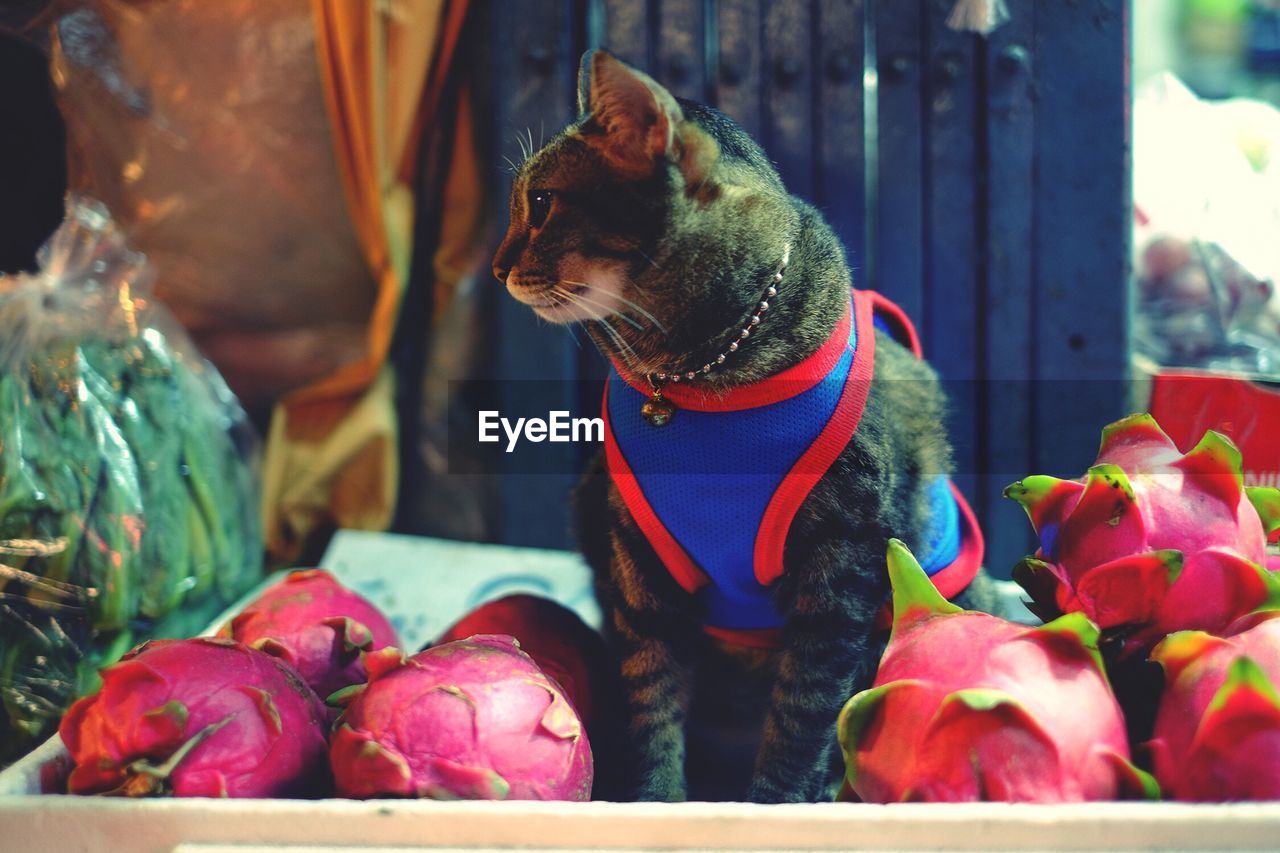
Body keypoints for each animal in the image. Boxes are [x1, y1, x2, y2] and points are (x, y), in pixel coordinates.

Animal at [483, 51, 993, 799]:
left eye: (542, 204)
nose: (495, 267)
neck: (695, 380)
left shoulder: (839, 573)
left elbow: (803, 719)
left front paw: (776, 802)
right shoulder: (639, 571)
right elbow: (652, 707)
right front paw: (654, 800)